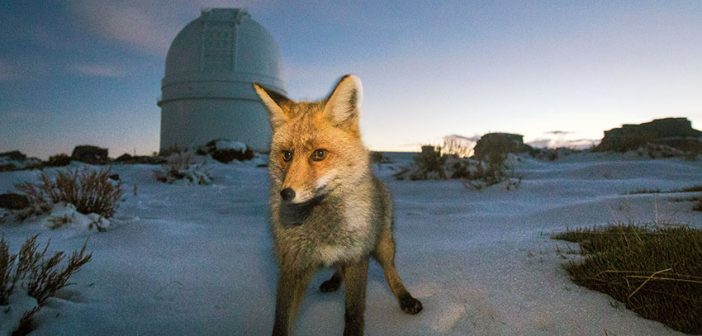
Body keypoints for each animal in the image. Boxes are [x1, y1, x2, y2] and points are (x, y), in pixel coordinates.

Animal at [254, 76, 424, 336]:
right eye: (287, 155)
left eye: (319, 154)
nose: (286, 194)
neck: (322, 228)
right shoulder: (292, 265)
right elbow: (281, 321)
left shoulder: (357, 257)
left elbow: (353, 313)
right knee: (340, 268)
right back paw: (334, 280)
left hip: (383, 244)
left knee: (390, 270)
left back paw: (405, 297)